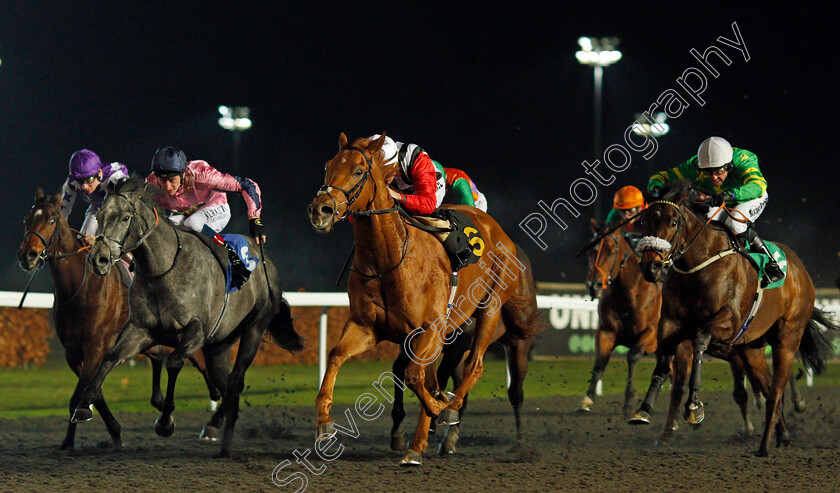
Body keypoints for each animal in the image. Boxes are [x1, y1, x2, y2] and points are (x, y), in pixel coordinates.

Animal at [17, 189, 220, 450]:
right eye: (27, 219)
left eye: (51, 220)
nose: (27, 255)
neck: (79, 288)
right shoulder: (73, 353)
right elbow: (92, 393)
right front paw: (109, 432)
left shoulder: (96, 348)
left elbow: (79, 394)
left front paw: (71, 439)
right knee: (160, 357)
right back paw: (161, 401)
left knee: (207, 371)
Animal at [69, 177, 302, 458]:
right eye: (100, 215)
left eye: (125, 217)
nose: (99, 259)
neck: (163, 268)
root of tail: (266, 261)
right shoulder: (140, 329)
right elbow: (112, 357)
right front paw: (84, 405)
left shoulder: (195, 332)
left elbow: (173, 362)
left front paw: (165, 421)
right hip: (218, 346)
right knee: (228, 385)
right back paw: (219, 436)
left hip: (254, 330)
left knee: (236, 380)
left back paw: (219, 435)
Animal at [388, 242, 544, 454]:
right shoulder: (412, 342)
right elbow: (400, 370)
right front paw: (398, 431)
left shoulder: (458, 345)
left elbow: (439, 380)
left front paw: (431, 421)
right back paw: (449, 438)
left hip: (517, 347)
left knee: (515, 393)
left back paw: (520, 443)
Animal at [632, 181, 832, 454]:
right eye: (645, 221)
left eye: (673, 222)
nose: (650, 267)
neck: (700, 265)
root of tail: (801, 270)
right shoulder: (671, 323)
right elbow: (664, 362)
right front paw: (644, 410)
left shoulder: (728, 322)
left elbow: (700, 338)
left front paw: (694, 407)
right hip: (751, 349)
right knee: (769, 389)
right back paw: (783, 436)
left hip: (787, 339)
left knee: (776, 391)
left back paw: (763, 446)